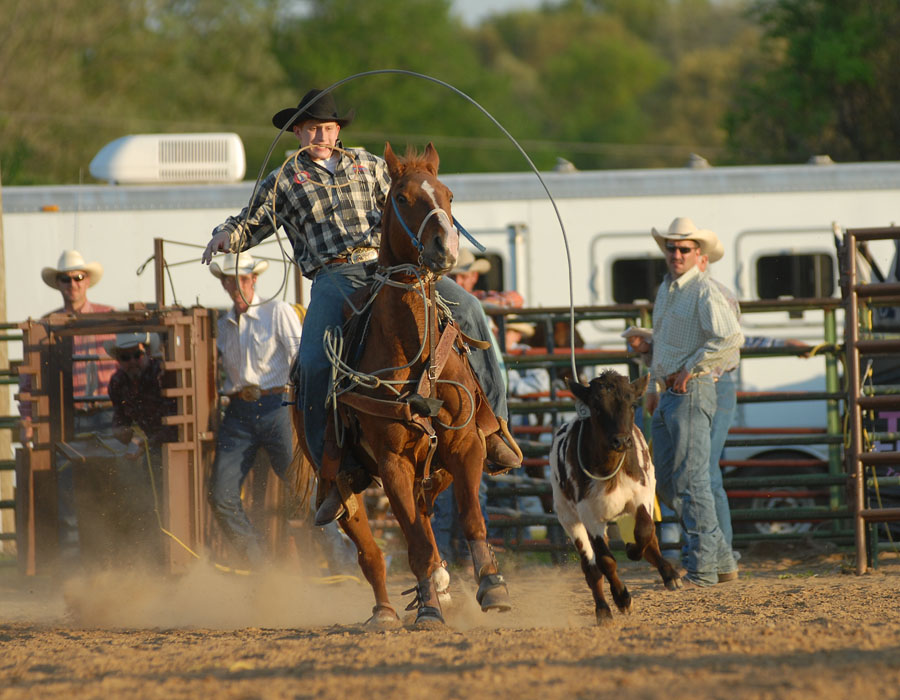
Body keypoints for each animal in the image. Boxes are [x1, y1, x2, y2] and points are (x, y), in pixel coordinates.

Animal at [548, 372, 684, 624]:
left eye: (631, 404)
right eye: (596, 406)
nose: (621, 441)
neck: (609, 468)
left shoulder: (641, 497)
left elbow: (645, 533)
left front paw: (634, 551)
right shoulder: (589, 517)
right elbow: (606, 561)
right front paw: (622, 598)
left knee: (650, 540)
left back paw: (670, 575)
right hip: (568, 518)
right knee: (591, 568)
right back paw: (603, 609)